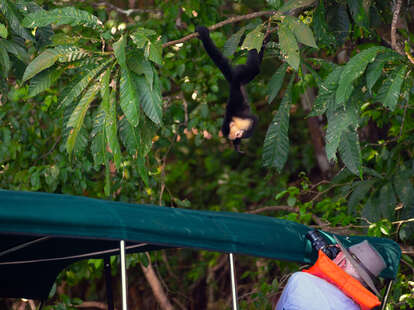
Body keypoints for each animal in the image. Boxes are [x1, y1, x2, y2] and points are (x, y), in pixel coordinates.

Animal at [196, 24, 266, 153]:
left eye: (238, 134)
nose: (239, 136)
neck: (231, 121)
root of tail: (233, 80)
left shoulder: (241, 121)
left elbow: (254, 119)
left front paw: (244, 137)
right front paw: (236, 146)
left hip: (241, 74)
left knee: (254, 68)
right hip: (241, 78)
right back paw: (263, 43)